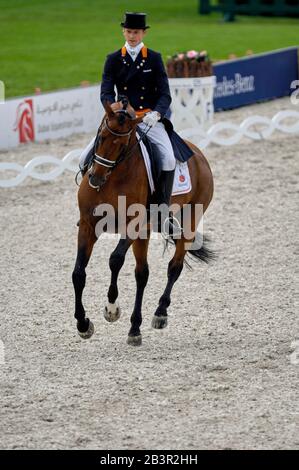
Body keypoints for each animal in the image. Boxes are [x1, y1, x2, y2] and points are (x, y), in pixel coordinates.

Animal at [72, 100, 214, 346]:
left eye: (122, 145)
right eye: (101, 136)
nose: (96, 178)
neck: (113, 177)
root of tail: (197, 154)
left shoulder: (134, 225)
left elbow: (115, 260)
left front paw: (111, 309)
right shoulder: (89, 226)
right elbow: (78, 273)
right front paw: (83, 324)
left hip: (188, 220)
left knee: (174, 266)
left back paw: (159, 314)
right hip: (145, 232)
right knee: (142, 274)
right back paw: (134, 328)